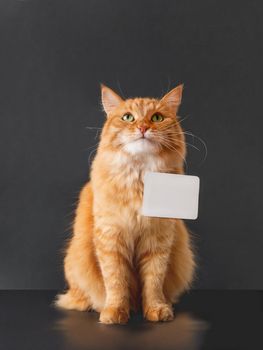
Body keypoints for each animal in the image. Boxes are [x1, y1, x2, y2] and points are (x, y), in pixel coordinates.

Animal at [55, 85, 196, 326]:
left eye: (157, 118)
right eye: (128, 117)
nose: (142, 127)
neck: (141, 177)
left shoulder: (157, 241)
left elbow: (153, 283)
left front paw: (156, 310)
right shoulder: (111, 239)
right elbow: (116, 282)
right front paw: (114, 312)